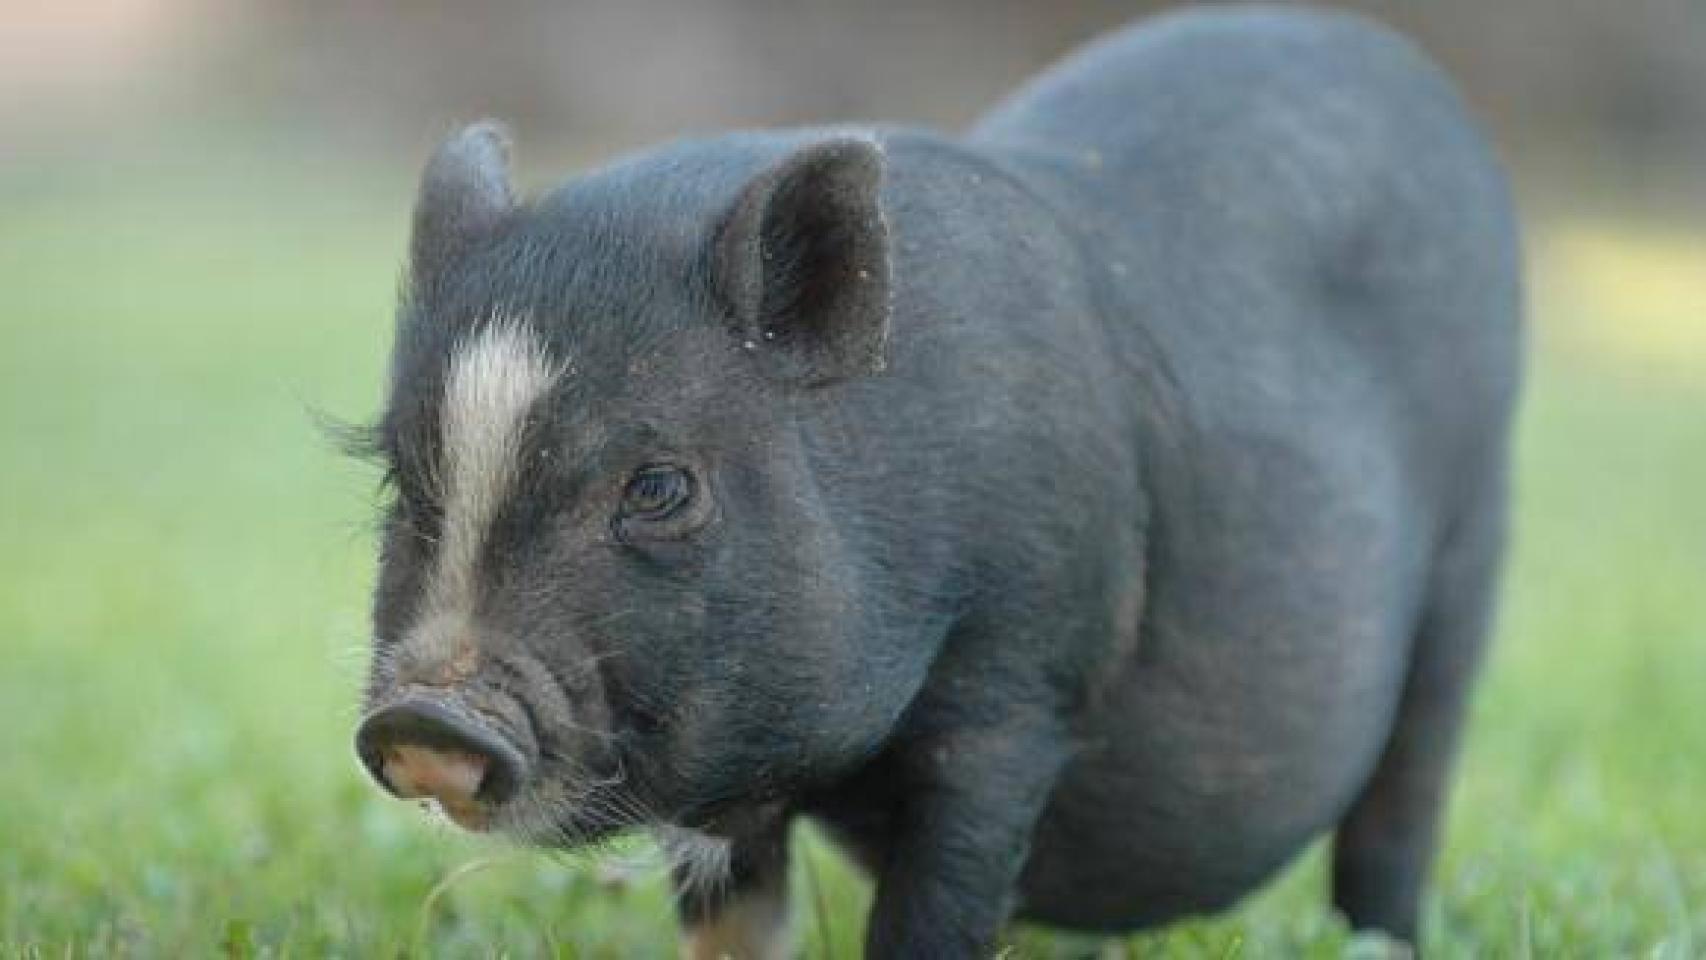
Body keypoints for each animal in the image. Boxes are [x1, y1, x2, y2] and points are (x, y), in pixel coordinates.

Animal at [350, 6, 1520, 957]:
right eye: (406, 485)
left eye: (658, 489)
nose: (426, 718)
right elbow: (732, 926)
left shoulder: (1018, 684)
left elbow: (934, 911)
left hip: (1469, 558)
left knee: (1399, 810)